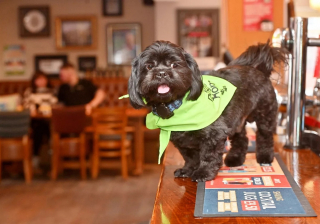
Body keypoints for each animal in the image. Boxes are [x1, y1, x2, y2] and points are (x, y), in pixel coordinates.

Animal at [128, 40, 288, 182]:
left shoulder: (214, 135)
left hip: (264, 114)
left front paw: (203, 173)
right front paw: (188, 170)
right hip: (236, 120)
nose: (161, 73)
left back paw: (265, 157)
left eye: (174, 64)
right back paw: (235, 159)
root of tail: (258, 69)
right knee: (241, 139)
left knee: (265, 136)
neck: (175, 105)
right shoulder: (181, 141)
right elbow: (190, 157)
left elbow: (208, 156)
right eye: (149, 66)